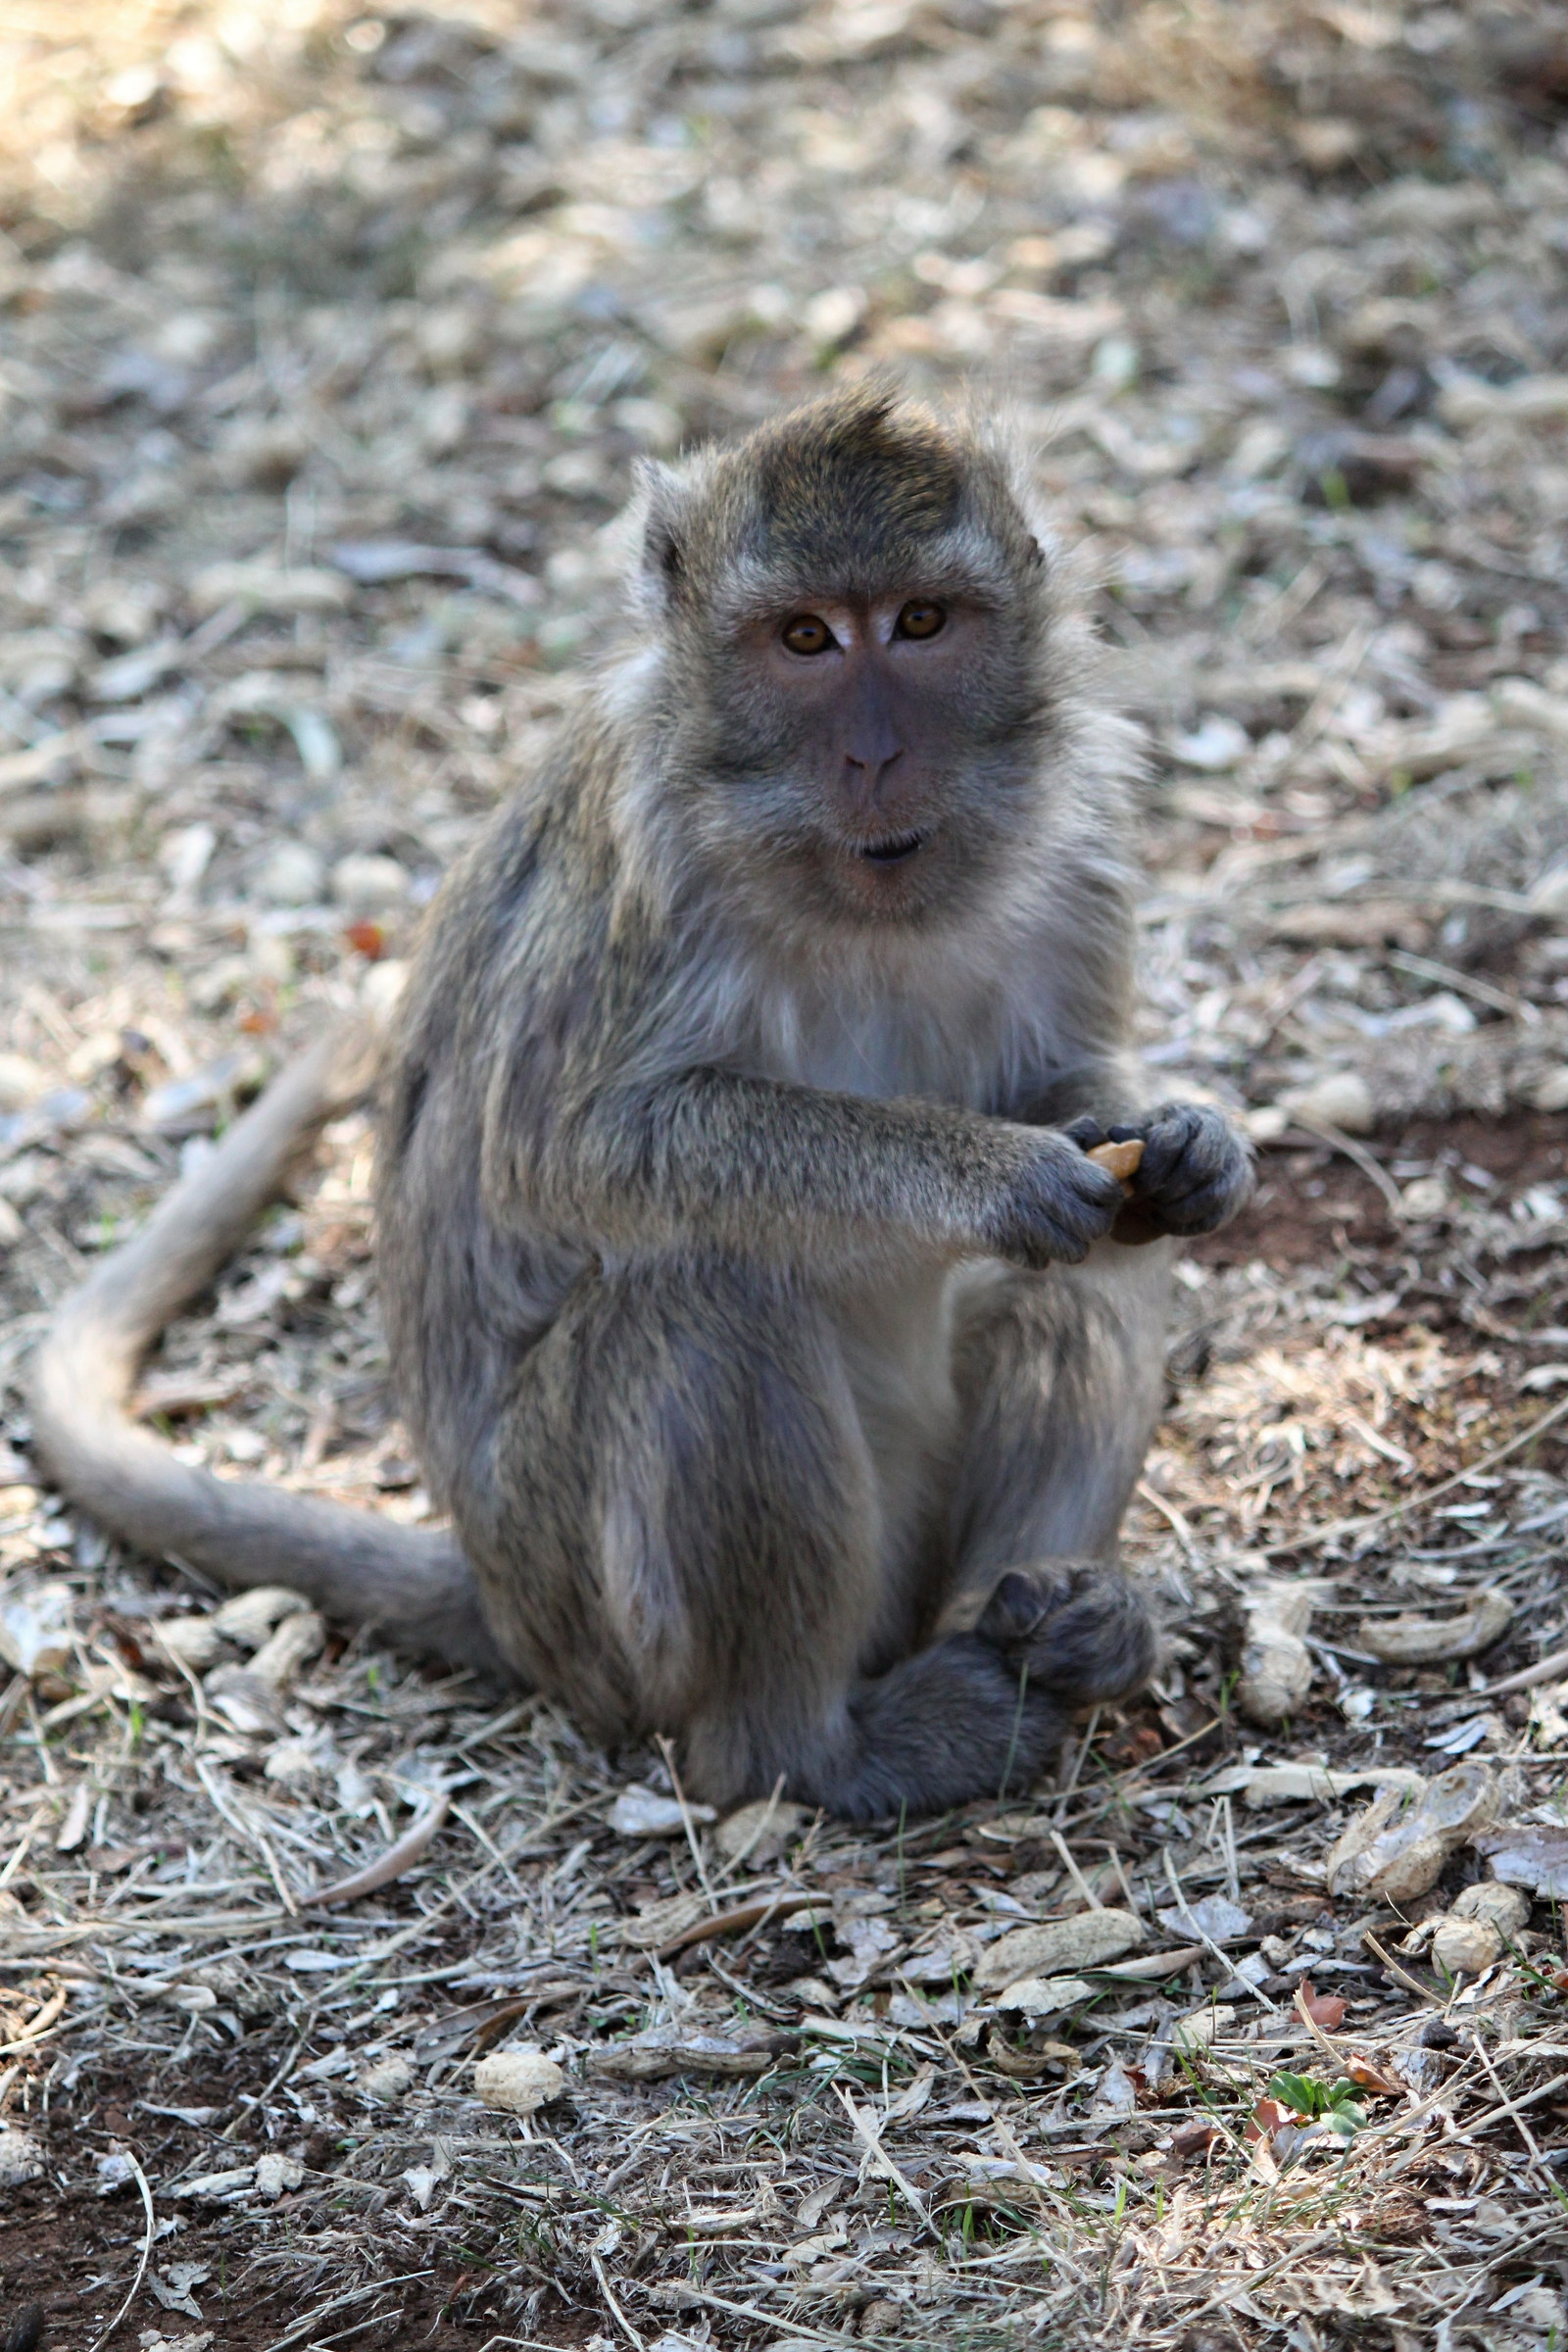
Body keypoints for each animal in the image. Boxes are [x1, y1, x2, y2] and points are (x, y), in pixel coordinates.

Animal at [31, 385, 1254, 1819]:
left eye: (920, 623)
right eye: (802, 638)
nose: (877, 754)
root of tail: (503, 1596)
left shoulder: (1084, 833)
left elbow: (1076, 1097)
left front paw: (1185, 1140)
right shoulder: (640, 864)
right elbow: (574, 1154)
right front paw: (988, 1173)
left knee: (1102, 1259)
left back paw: (1052, 1619)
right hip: (598, 1599)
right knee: (704, 1291)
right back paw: (815, 1745)